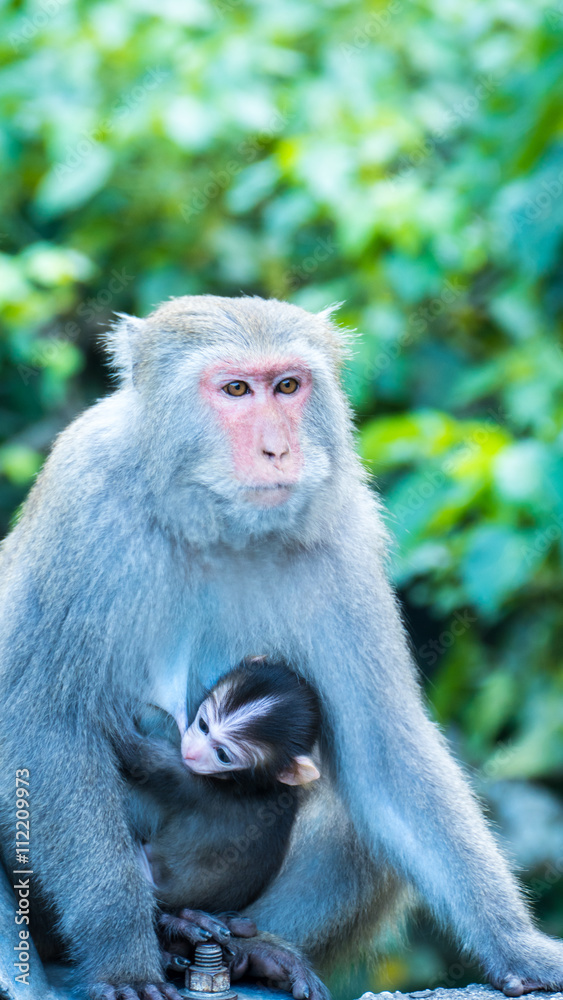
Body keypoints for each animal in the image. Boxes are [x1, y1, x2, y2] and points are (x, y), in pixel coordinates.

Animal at [0, 294, 560, 1000]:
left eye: (289, 386)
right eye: (237, 389)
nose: (278, 449)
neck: (212, 524)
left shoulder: (343, 531)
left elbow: (384, 753)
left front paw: (519, 945)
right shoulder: (85, 503)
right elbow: (46, 727)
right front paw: (122, 956)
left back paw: (245, 947)